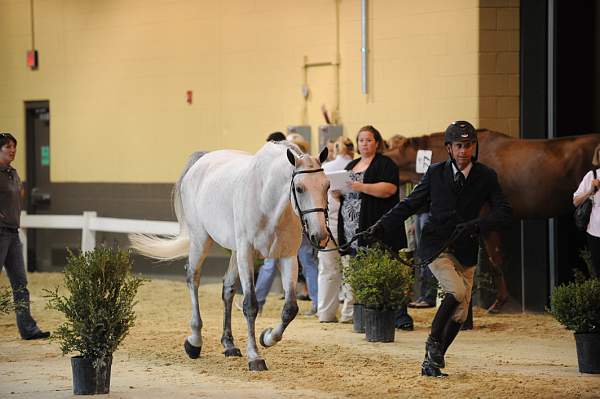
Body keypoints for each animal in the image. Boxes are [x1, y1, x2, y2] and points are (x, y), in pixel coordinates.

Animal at [128, 141, 330, 372]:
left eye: (327, 186)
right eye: (299, 188)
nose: (320, 236)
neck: (266, 199)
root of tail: (202, 161)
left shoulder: (287, 256)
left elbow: (290, 308)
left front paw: (267, 337)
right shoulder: (246, 253)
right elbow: (250, 305)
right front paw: (255, 357)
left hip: (233, 252)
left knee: (227, 289)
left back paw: (229, 344)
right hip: (201, 240)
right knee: (193, 278)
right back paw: (194, 342)